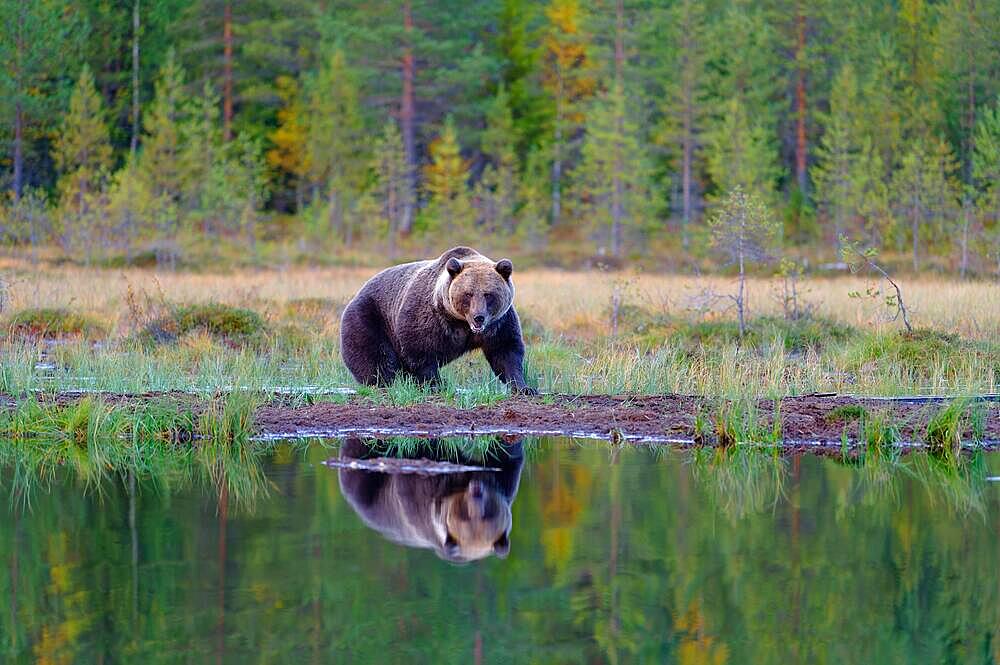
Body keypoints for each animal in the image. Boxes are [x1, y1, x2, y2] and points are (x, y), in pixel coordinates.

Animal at [338, 438, 528, 564]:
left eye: (488, 514)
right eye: (464, 514)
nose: (476, 491)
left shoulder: (505, 482)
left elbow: (507, 456)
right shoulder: (418, 498)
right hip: (367, 488)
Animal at [340, 244, 536, 390]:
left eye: (488, 294)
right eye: (468, 294)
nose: (478, 317)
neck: (461, 322)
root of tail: (359, 291)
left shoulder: (498, 323)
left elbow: (506, 351)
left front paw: (524, 387)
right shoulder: (429, 317)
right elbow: (420, 351)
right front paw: (436, 384)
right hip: (370, 316)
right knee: (375, 355)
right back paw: (385, 382)